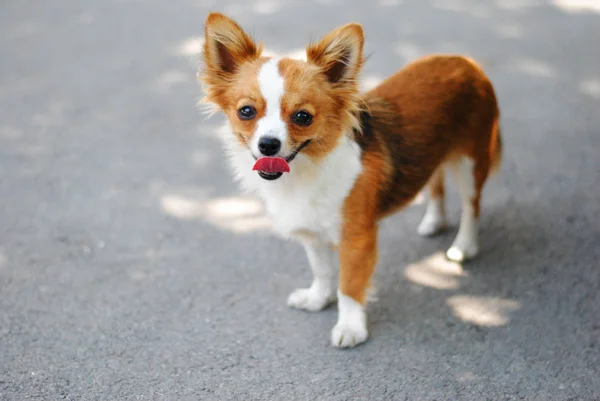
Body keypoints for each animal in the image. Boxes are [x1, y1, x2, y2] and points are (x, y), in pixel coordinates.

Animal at [198, 13, 502, 346]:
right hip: (434, 152)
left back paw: (463, 247)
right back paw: (434, 222)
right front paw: (318, 299)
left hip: (470, 164)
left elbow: (348, 286)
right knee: (435, 183)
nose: (268, 144)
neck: (305, 172)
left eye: (303, 117)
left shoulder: (356, 240)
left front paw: (350, 327)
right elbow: (322, 272)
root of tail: (465, 62)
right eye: (246, 111)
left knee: (472, 206)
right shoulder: (312, 234)